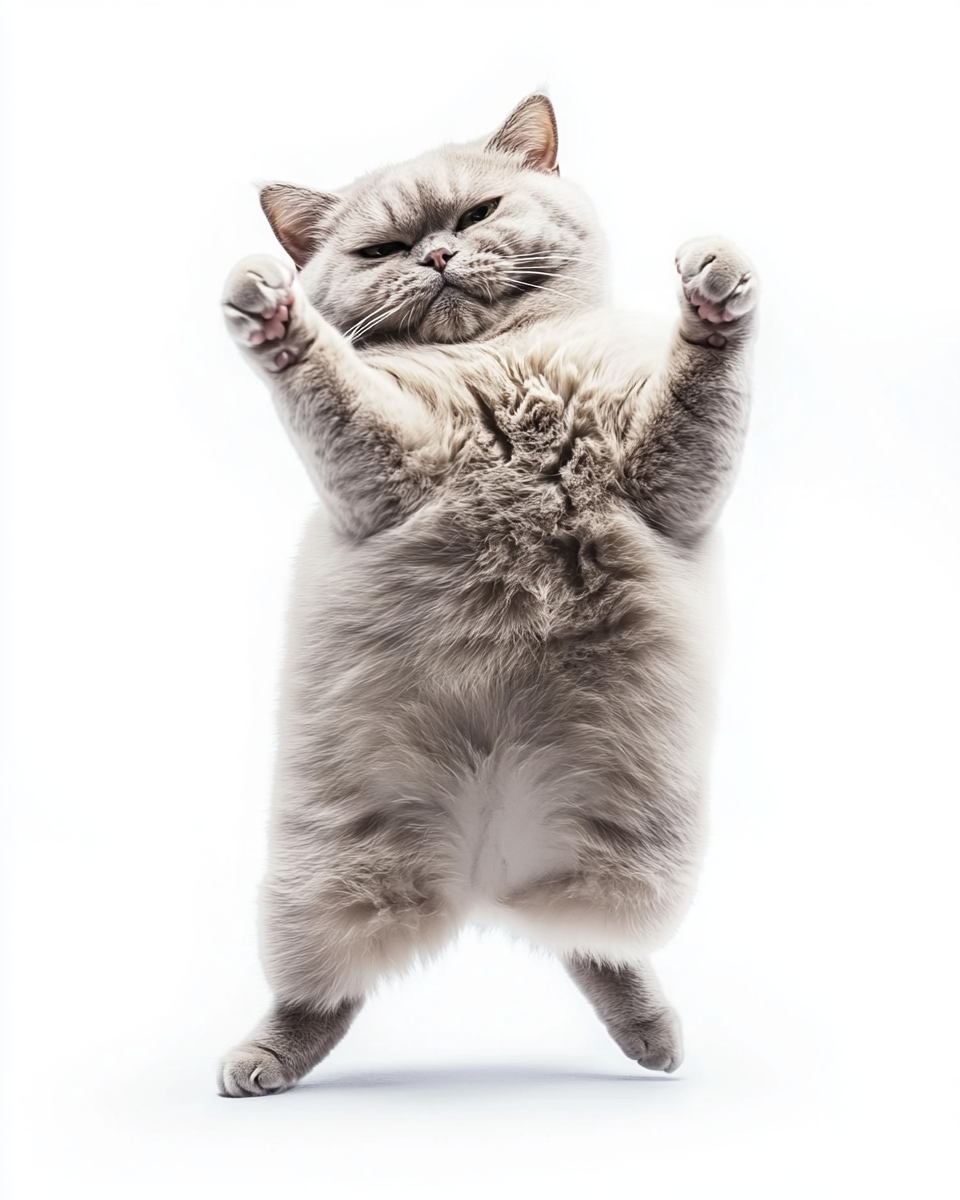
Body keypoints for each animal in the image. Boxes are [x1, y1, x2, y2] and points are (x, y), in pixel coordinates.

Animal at [216, 93, 758, 1099]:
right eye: (384, 248)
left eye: (475, 215)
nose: (435, 256)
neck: (508, 366)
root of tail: (481, 862)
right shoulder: (383, 469)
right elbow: (327, 379)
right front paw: (272, 317)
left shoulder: (670, 478)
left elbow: (703, 374)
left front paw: (712, 292)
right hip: (324, 876)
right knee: (319, 995)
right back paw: (259, 1063)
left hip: (631, 859)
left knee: (594, 949)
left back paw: (653, 1042)